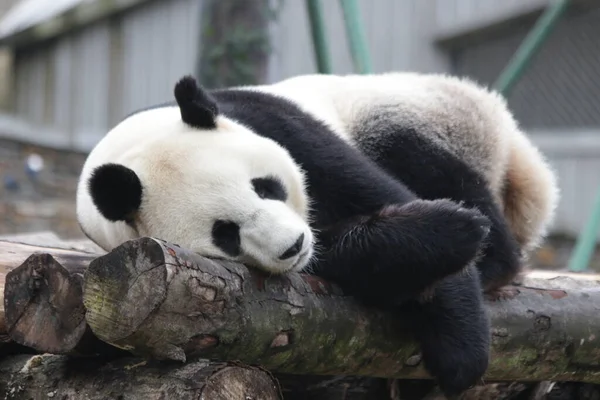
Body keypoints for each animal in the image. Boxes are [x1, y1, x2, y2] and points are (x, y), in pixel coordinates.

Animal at [74, 72, 556, 396]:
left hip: (418, 116)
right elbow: (349, 258)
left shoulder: (284, 127)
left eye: (265, 186)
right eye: (225, 233)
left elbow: (381, 195)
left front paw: (460, 351)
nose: (294, 246)